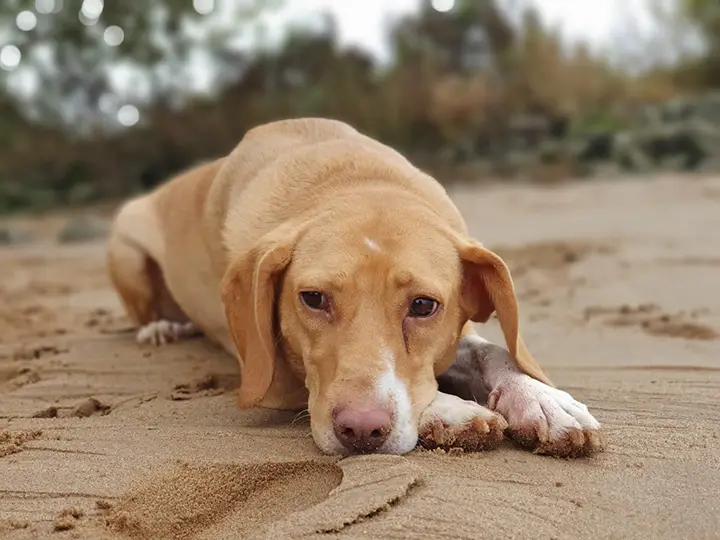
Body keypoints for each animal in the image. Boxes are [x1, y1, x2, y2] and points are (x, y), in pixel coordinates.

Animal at [107, 118, 600, 456]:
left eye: (424, 305)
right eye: (312, 298)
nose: (361, 430)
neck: (353, 180)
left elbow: (493, 350)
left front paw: (540, 400)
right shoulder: (277, 377)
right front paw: (450, 410)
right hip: (125, 247)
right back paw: (163, 327)